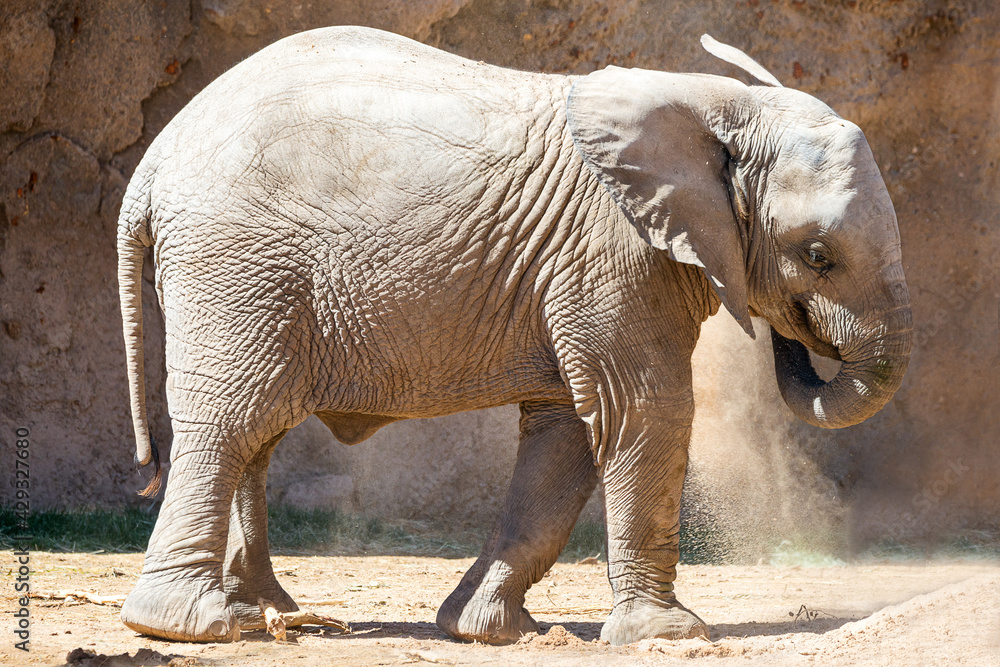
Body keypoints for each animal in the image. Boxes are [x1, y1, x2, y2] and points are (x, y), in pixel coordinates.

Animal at [116, 26, 912, 645]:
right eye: (818, 255)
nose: (788, 330)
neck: (718, 105)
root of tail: (151, 167)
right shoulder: (610, 252)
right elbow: (643, 413)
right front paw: (672, 635)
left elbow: (569, 431)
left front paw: (488, 631)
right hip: (235, 262)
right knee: (232, 419)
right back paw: (189, 625)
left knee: (258, 430)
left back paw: (266, 613)